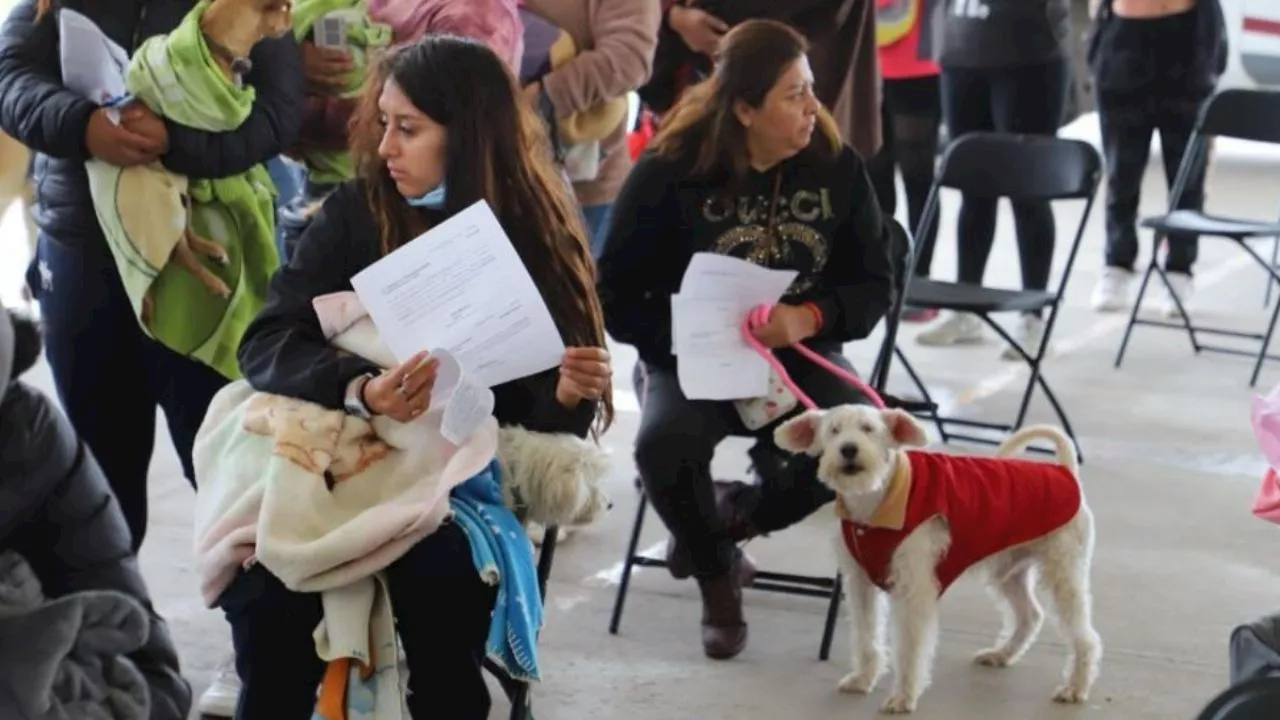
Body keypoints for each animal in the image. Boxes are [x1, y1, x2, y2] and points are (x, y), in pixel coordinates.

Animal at [773, 407, 1105, 707]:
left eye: (868, 428)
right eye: (833, 430)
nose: (848, 449)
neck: (880, 498)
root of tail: (1064, 471)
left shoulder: (914, 592)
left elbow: (910, 647)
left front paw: (904, 697)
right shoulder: (860, 586)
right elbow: (866, 636)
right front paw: (863, 679)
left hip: (1064, 577)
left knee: (1086, 638)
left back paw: (1075, 688)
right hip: (1010, 572)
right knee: (1030, 615)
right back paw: (1001, 654)